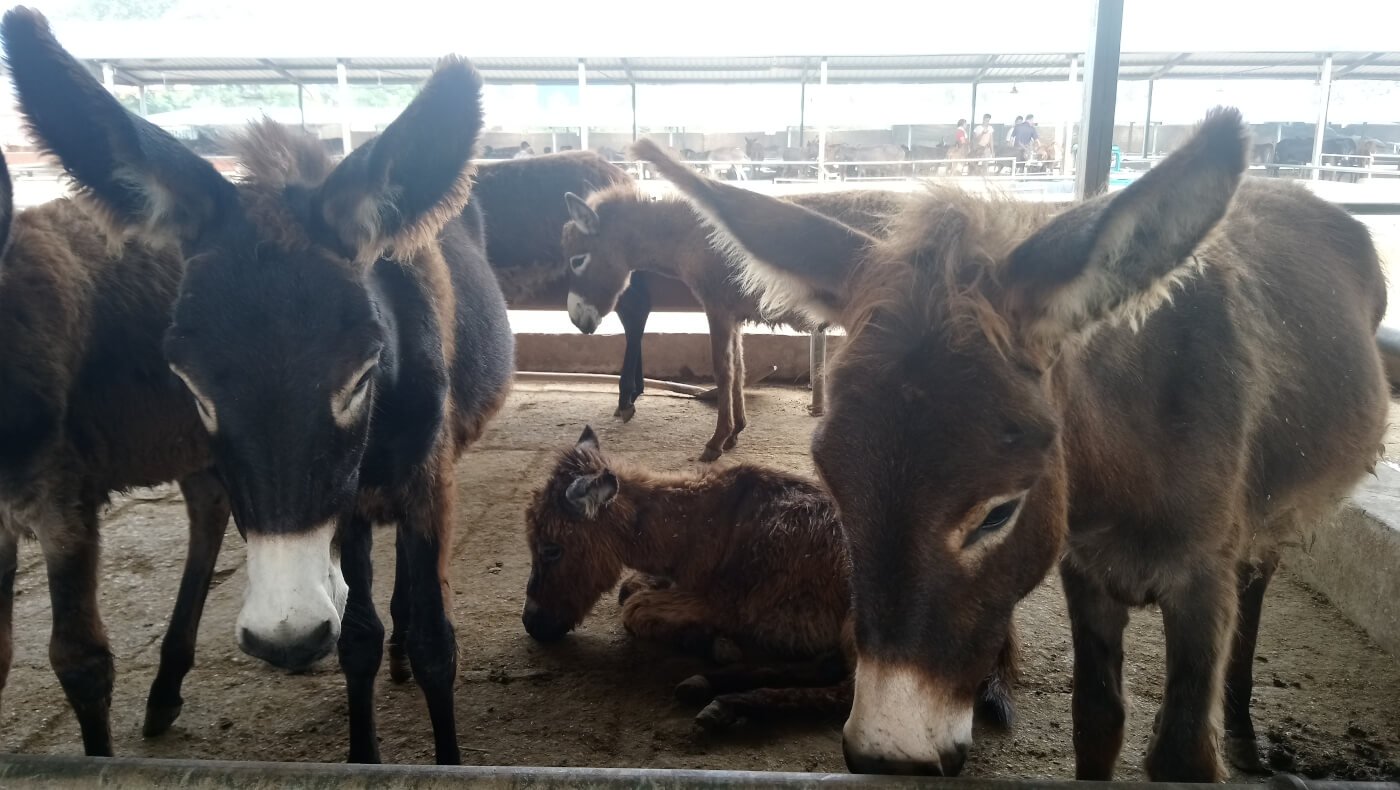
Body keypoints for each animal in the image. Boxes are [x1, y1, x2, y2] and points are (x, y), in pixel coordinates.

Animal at [1, 6, 515, 761]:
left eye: (362, 373)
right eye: (191, 384)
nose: (286, 638)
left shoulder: (430, 480)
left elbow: (436, 645)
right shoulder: (348, 499)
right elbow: (357, 639)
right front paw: (363, 755)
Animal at [635, 109, 1388, 778]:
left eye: (999, 513)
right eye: (834, 490)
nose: (888, 754)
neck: (1133, 459)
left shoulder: (1203, 578)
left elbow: (1182, 754)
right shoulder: (1086, 571)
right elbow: (1097, 721)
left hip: (1264, 529)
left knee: (1257, 584)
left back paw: (1243, 734)